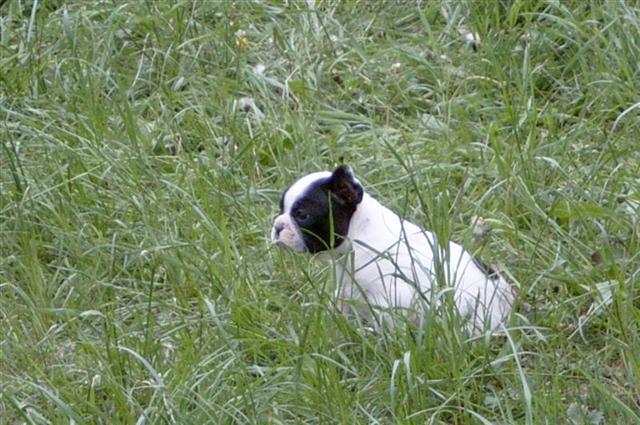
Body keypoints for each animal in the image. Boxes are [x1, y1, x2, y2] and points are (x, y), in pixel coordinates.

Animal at [271, 165, 514, 332]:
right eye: (280, 209)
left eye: (302, 215)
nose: (277, 225)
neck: (359, 236)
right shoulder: (346, 289)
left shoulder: (391, 298)